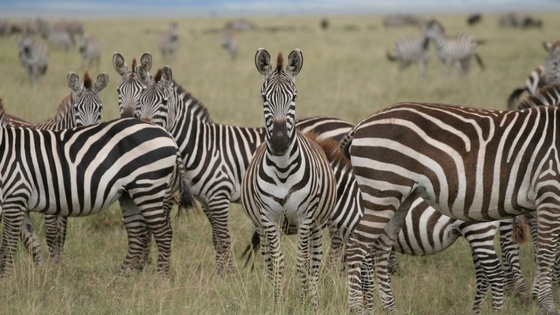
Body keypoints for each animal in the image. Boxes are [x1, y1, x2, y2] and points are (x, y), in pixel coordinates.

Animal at [0, 110, 195, 276]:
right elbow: (30, 241)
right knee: (137, 235)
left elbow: (7, 245)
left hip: (147, 187)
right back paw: (121, 278)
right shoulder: (19, 203)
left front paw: (6, 280)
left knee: (163, 233)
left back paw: (162, 278)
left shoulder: (14, 196)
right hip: (130, 194)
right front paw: (42, 275)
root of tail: (167, 133)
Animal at [241, 48, 336, 312]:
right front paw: (276, 304)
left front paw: (305, 305)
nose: (281, 142)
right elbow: (277, 264)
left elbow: (302, 264)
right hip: (260, 227)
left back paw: (313, 301)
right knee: (268, 262)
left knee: (313, 265)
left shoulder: (305, 218)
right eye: (264, 98)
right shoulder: (268, 218)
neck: (283, 169)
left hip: (317, 226)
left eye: (294, 97)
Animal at [342, 102, 560, 314]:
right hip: (383, 191)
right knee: (356, 247)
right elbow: (547, 252)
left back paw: (390, 308)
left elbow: (546, 250)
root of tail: (362, 124)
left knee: (382, 249)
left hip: (399, 198)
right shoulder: (550, 191)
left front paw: (541, 300)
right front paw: (547, 304)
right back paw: (356, 308)